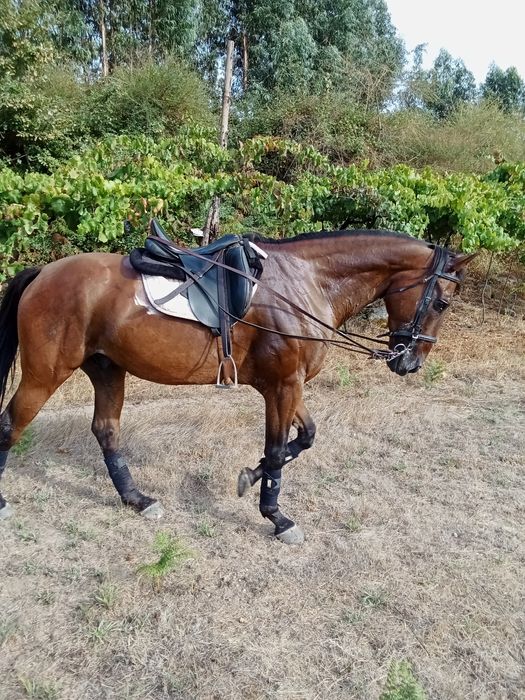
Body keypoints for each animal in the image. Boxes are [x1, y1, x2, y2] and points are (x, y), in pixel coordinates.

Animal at [0, 230, 474, 543]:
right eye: (441, 302)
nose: (410, 362)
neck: (304, 283)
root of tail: (44, 274)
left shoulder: (290, 385)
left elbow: (303, 438)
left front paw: (250, 476)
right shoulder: (282, 386)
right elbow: (278, 450)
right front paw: (276, 516)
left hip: (106, 369)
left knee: (106, 430)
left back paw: (137, 499)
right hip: (46, 374)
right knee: (11, 426)